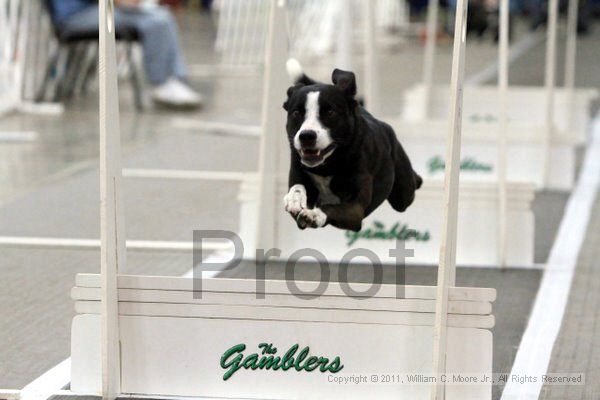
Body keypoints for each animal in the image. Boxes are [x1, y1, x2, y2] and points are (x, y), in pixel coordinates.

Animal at [282, 61, 420, 233]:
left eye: (330, 112)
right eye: (296, 113)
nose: (306, 135)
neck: (328, 165)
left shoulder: (356, 208)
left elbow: (332, 207)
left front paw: (314, 215)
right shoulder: (298, 170)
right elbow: (297, 187)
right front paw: (294, 199)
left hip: (402, 192)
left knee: (408, 192)